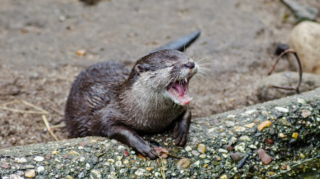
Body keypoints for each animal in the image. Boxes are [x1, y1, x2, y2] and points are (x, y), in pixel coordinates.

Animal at [65, 49, 198, 159]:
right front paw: (145, 148)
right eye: (170, 65)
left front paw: (181, 131)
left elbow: (188, 112)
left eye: (188, 57)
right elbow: (116, 129)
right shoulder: (104, 115)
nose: (191, 64)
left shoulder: (181, 107)